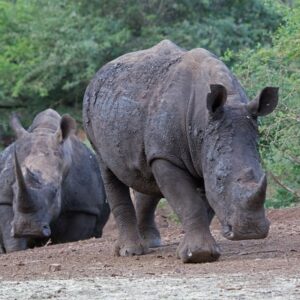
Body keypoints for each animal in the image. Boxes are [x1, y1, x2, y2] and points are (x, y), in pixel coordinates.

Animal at [0, 108, 109, 253]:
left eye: (56, 190)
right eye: (13, 189)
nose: (28, 229)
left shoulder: (84, 207)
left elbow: (71, 237)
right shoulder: (4, 198)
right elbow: (12, 237)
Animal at [82, 40, 278, 262]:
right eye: (219, 179)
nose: (251, 231)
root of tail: (98, 74)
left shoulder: (202, 151)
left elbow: (202, 204)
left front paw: (198, 250)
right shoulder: (167, 156)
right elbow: (190, 202)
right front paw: (199, 255)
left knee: (146, 175)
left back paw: (152, 243)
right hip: (92, 116)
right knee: (109, 170)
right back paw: (129, 251)